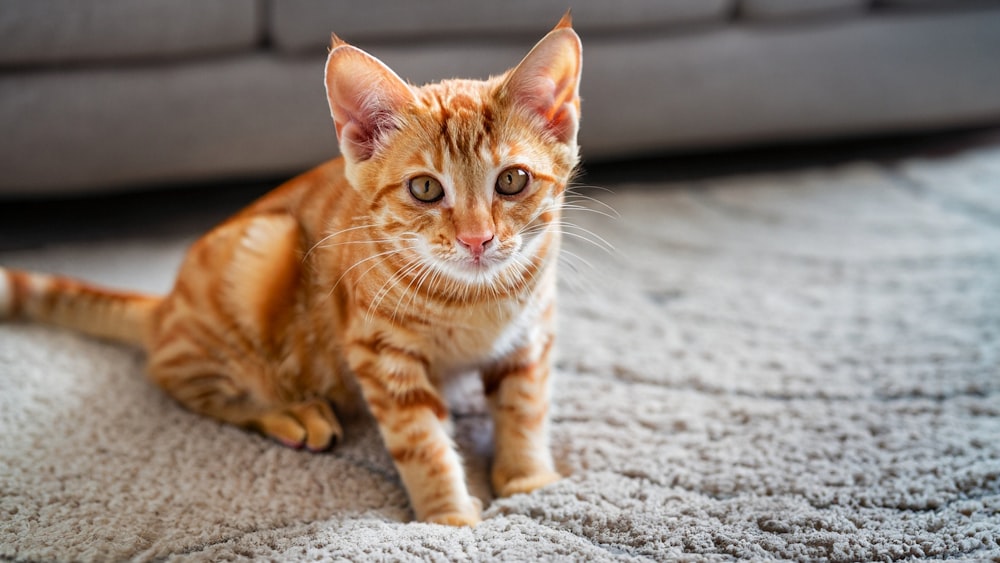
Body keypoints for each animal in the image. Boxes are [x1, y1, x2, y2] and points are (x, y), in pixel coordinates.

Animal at [0, 13, 584, 528]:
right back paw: (291, 412)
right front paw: (449, 517)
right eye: (425, 188)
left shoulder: (533, 332)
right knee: (179, 379)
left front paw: (527, 479)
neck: (477, 300)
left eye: (511, 180)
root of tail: (167, 305)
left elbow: (526, 407)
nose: (476, 238)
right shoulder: (379, 353)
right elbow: (421, 440)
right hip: (264, 248)